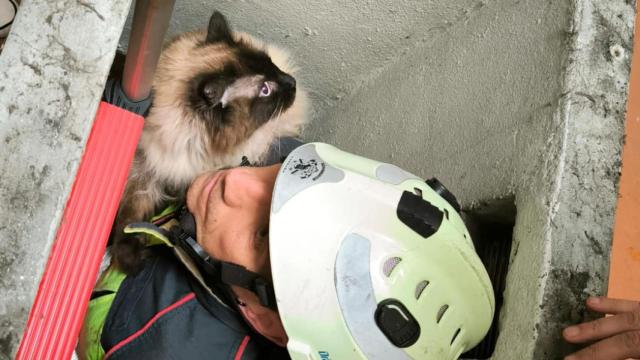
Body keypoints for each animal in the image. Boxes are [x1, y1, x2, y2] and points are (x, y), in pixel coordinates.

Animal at [112, 10, 308, 276]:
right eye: (266, 90)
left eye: (270, 64)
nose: (292, 82)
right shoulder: (144, 174)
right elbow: (126, 220)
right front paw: (132, 261)